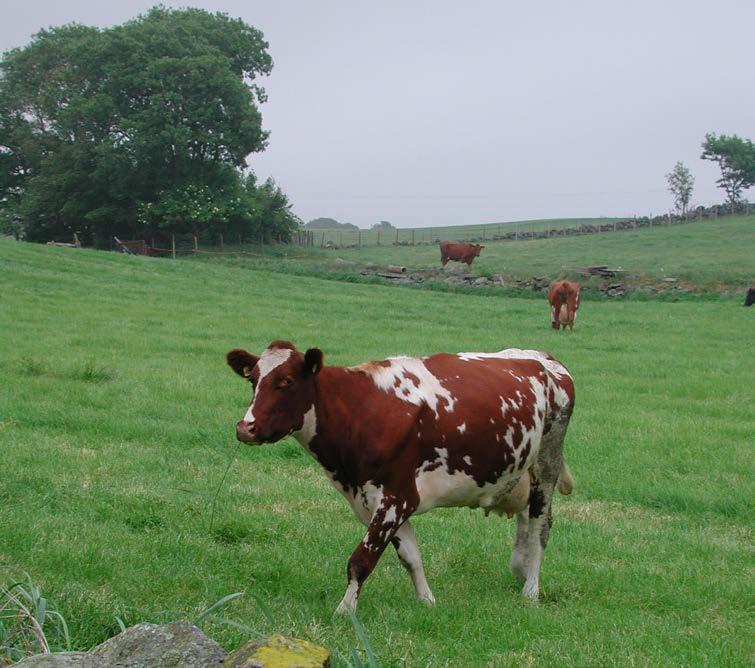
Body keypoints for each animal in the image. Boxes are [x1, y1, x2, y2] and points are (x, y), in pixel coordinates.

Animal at [227, 342, 576, 612]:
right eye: (253, 379)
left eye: (285, 381)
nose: (245, 428)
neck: (361, 410)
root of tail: (544, 358)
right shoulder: (380, 500)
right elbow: (411, 556)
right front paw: (427, 601)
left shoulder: (395, 499)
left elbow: (361, 560)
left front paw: (344, 612)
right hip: (520, 471)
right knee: (525, 519)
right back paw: (520, 570)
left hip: (547, 463)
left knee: (540, 527)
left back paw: (531, 589)